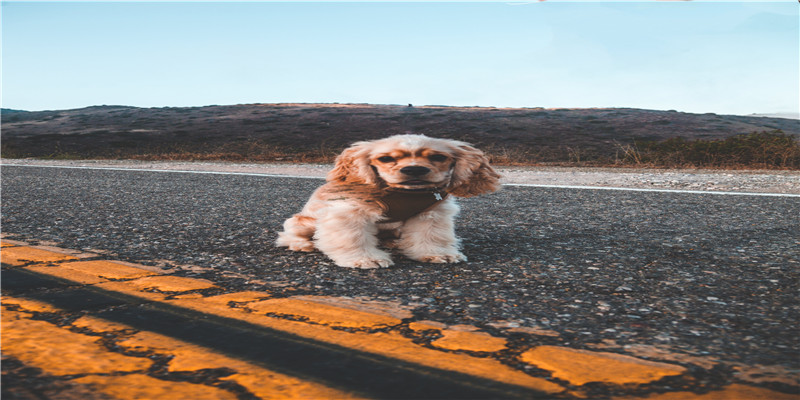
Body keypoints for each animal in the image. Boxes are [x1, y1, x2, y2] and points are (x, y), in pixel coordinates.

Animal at [276, 134, 500, 268]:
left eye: (438, 157)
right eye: (386, 159)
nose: (414, 169)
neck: (405, 193)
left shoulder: (431, 214)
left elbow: (432, 237)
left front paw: (438, 254)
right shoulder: (349, 213)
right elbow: (354, 238)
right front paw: (366, 259)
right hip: (302, 222)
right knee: (286, 236)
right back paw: (303, 244)